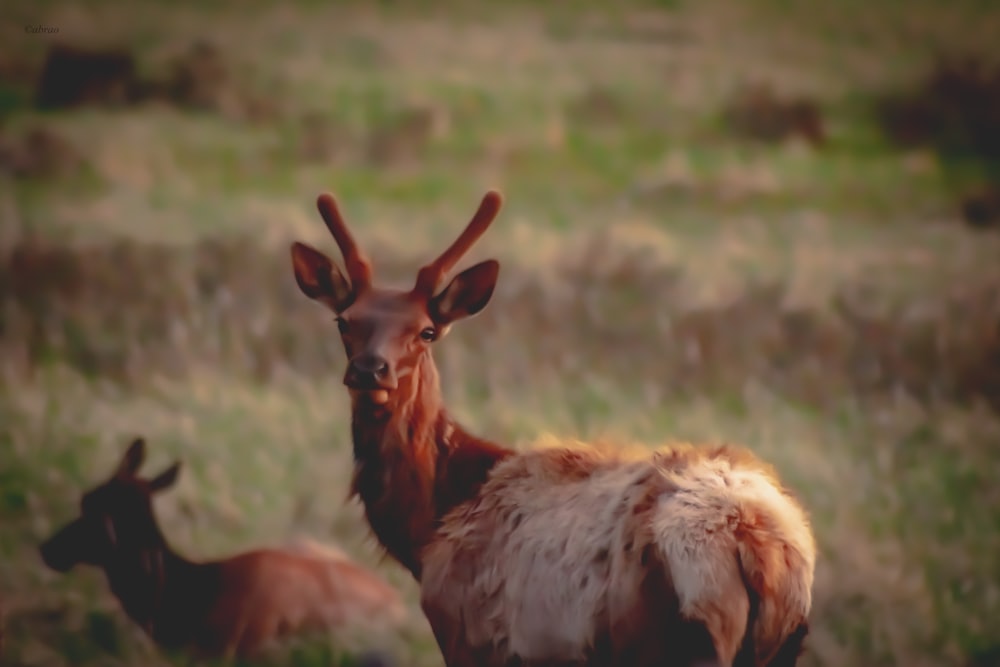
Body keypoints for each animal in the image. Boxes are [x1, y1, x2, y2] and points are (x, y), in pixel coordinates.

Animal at [288, 190, 812, 664]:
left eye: (426, 331)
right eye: (344, 321)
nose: (369, 370)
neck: (430, 528)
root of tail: (759, 549)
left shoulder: (468, 636)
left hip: (674, 641)